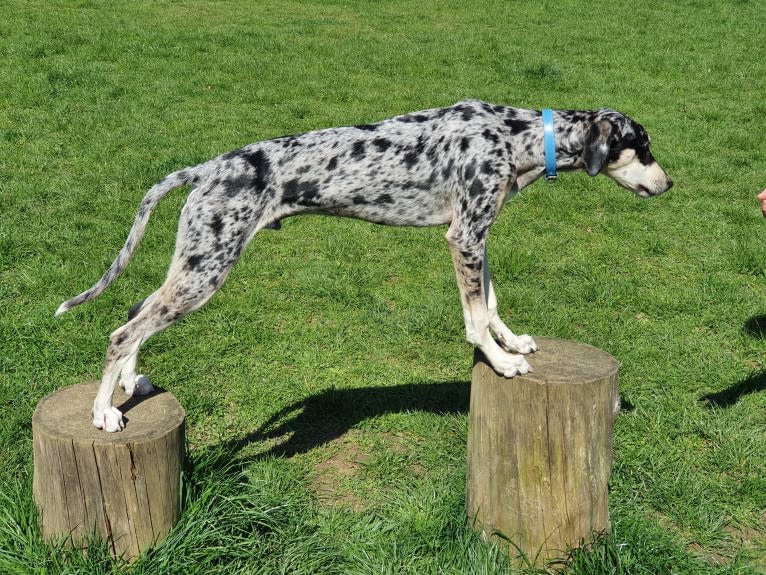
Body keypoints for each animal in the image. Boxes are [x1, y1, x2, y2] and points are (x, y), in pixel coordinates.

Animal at [57, 100, 676, 432]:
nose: (669, 183)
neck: (516, 136)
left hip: (192, 267)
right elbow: (474, 319)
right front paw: (501, 362)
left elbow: (492, 305)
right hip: (204, 272)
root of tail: (207, 167)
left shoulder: (478, 235)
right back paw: (103, 413)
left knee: (135, 310)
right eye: (643, 148)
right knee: (122, 331)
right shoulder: (463, 236)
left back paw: (130, 384)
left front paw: (513, 341)